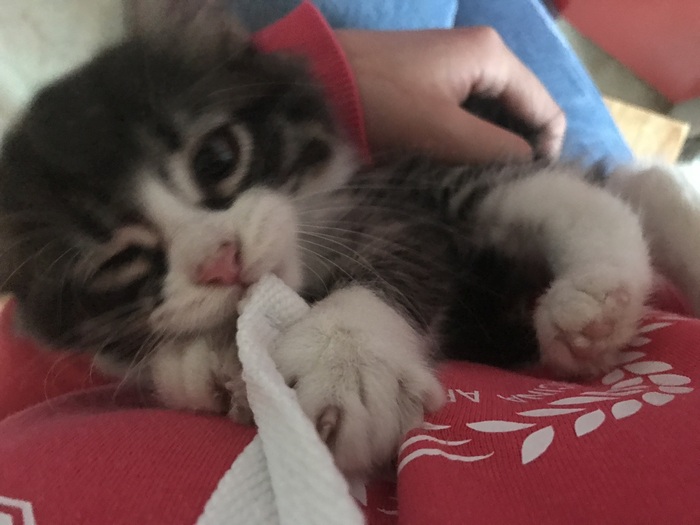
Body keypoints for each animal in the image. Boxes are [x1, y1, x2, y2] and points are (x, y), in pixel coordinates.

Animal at [1, 0, 698, 476]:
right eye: (119, 260)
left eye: (218, 158)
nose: (220, 260)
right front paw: (197, 359)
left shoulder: (403, 199)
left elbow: (397, 253)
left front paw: (349, 363)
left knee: (598, 188)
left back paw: (600, 295)